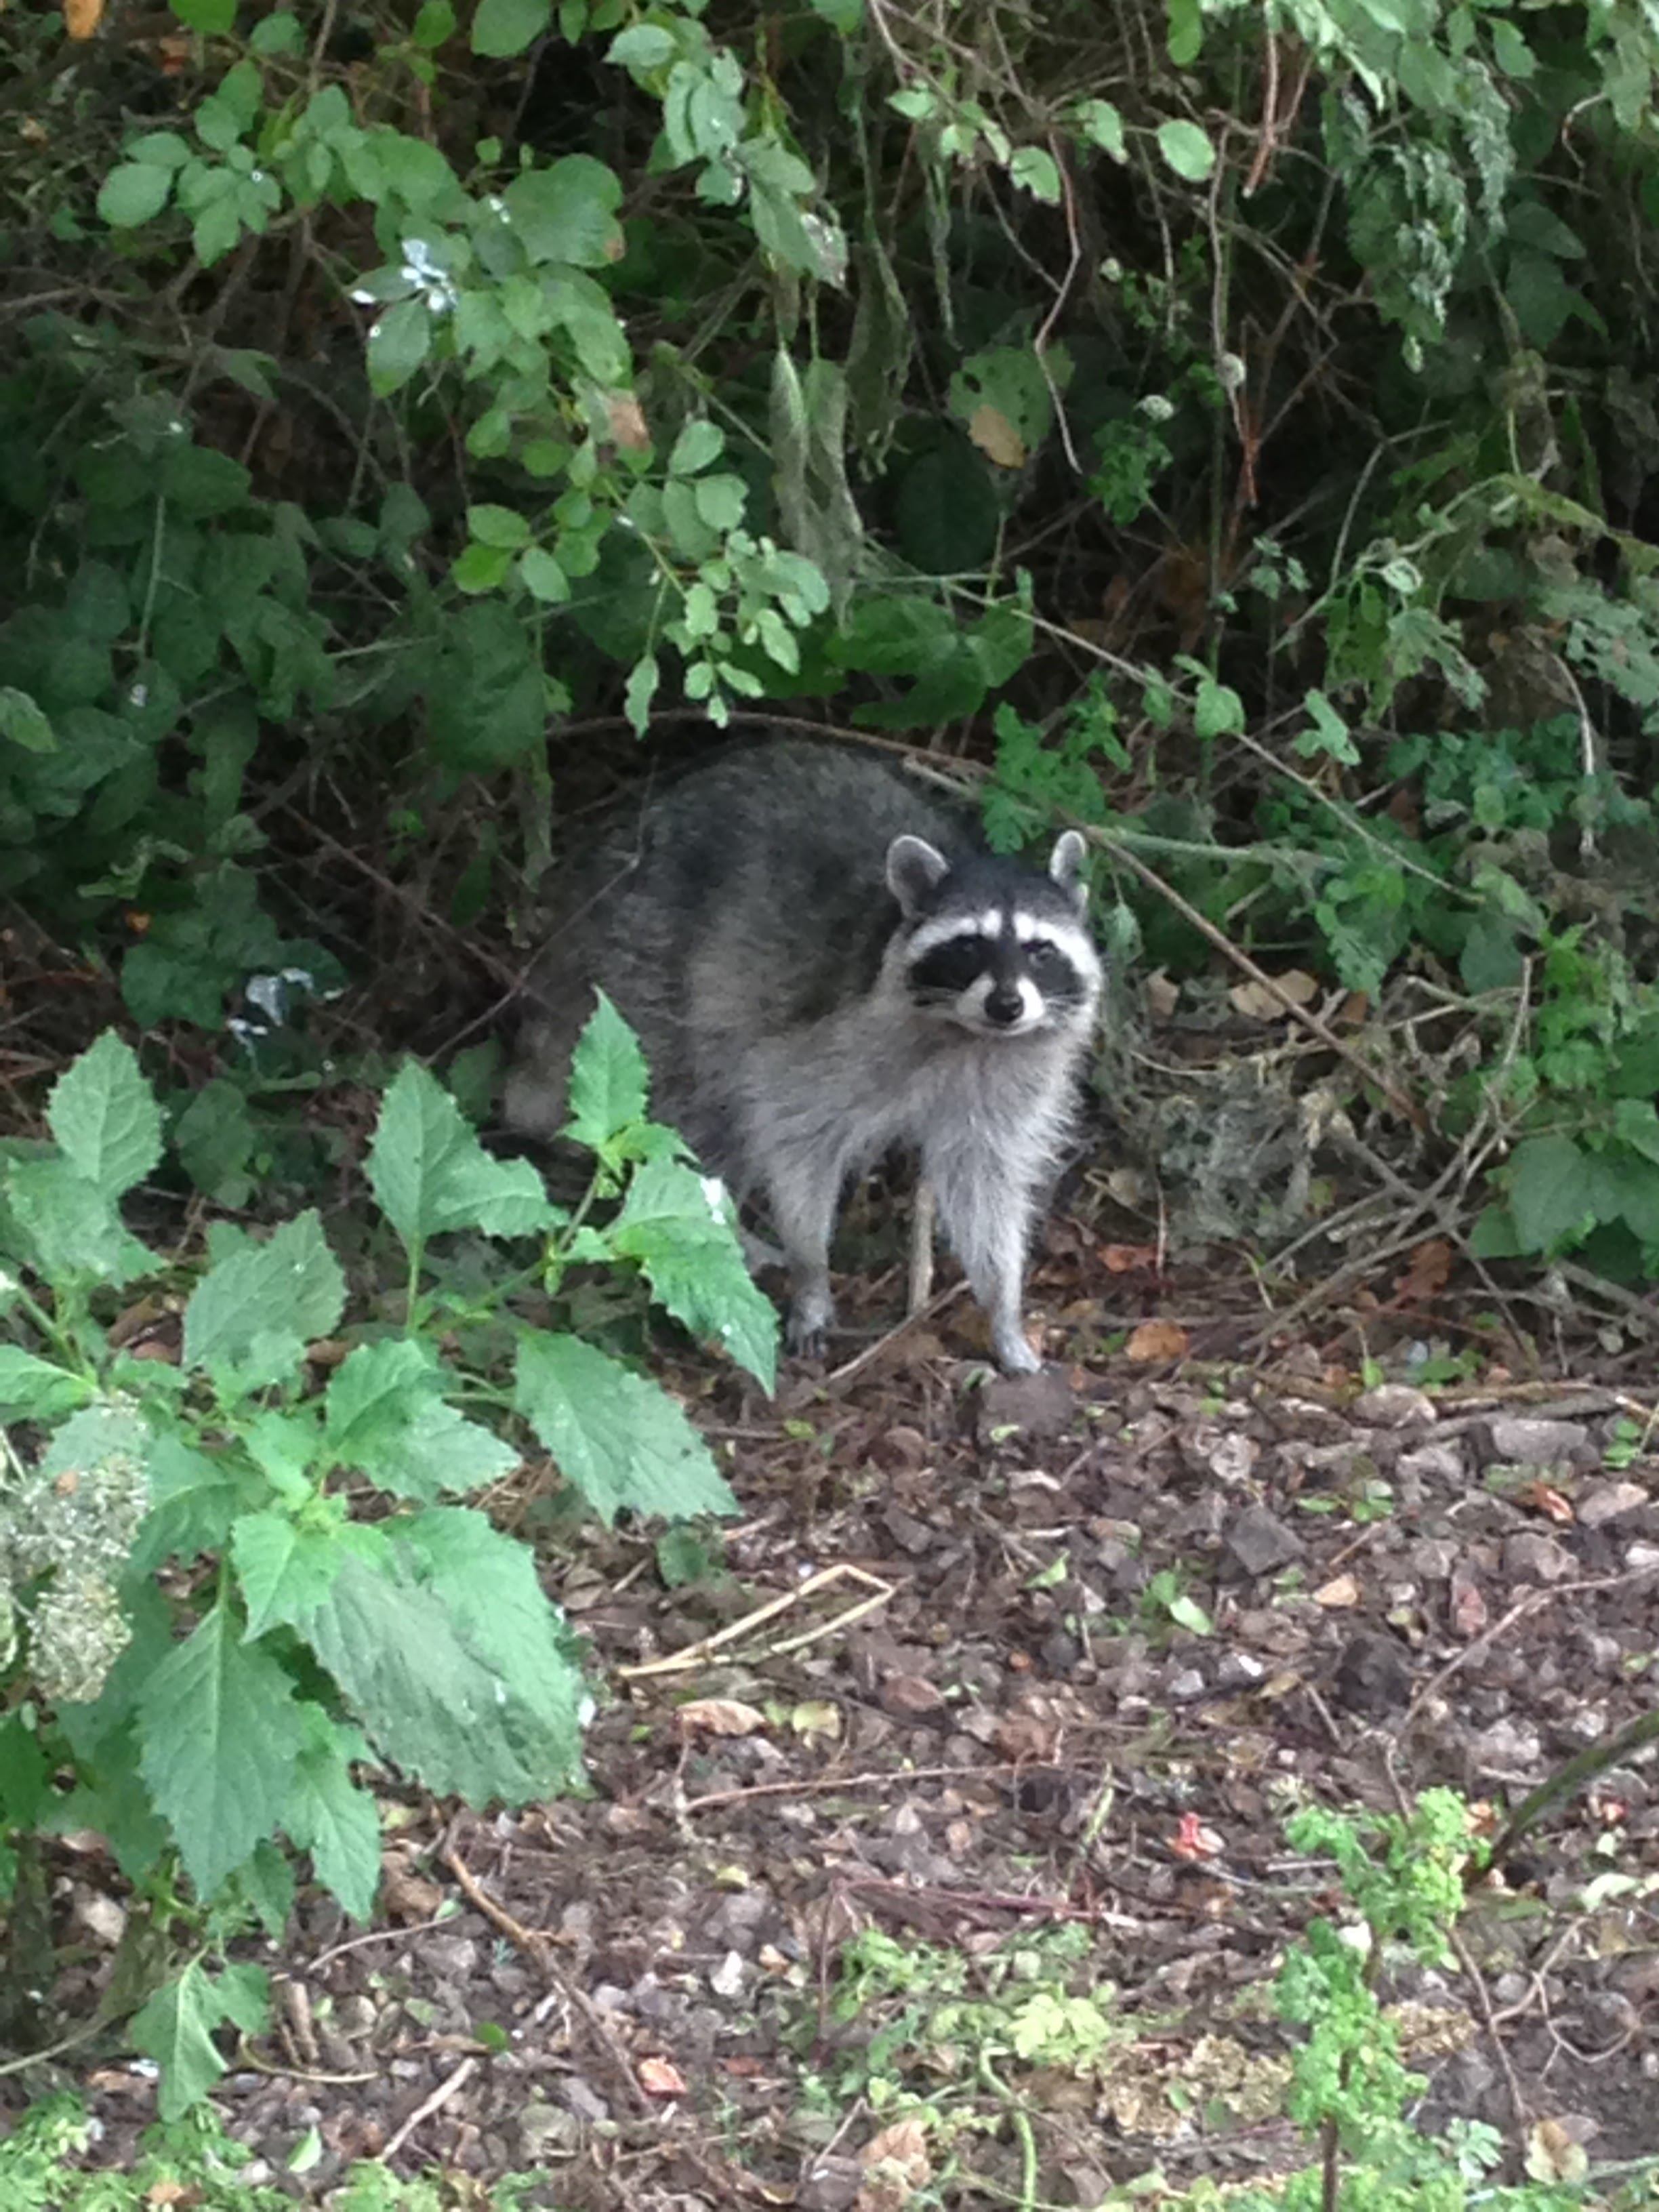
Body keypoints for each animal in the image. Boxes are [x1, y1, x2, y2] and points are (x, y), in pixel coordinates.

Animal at [504, 739, 1103, 1373]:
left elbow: (985, 1180)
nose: (1007, 1004)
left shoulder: (1010, 1080)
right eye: (969, 947)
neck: (969, 1035)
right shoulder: (832, 1041)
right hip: (642, 956)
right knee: (693, 1100)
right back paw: (721, 1222)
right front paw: (811, 1269)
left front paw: (1003, 1306)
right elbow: (793, 1132)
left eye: (1040, 951)